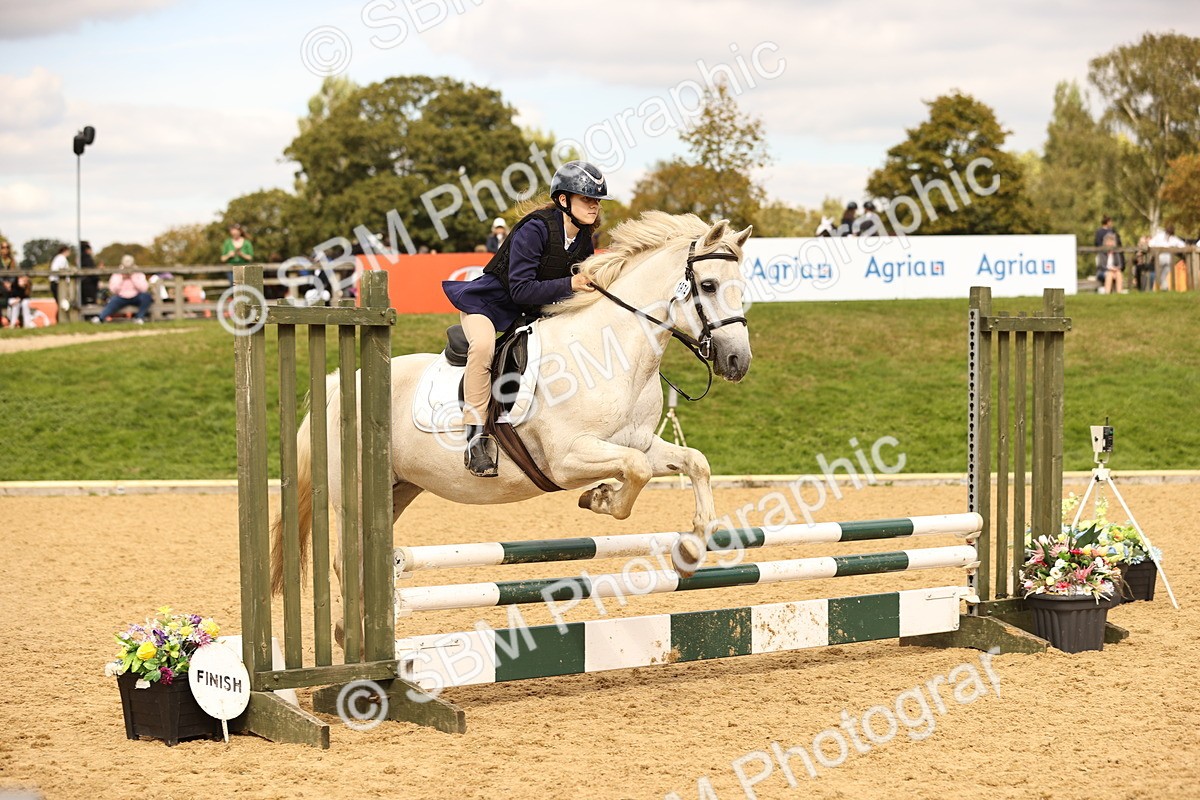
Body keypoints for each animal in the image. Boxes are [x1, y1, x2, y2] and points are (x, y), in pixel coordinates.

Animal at [269, 212, 755, 634]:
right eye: (708, 285)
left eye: (742, 288)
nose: (737, 362)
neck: (611, 350)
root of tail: (339, 383)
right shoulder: (566, 459)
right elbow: (634, 472)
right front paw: (599, 499)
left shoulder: (639, 442)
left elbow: (694, 462)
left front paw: (690, 549)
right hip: (353, 494)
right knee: (344, 561)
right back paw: (350, 640)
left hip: (397, 489)